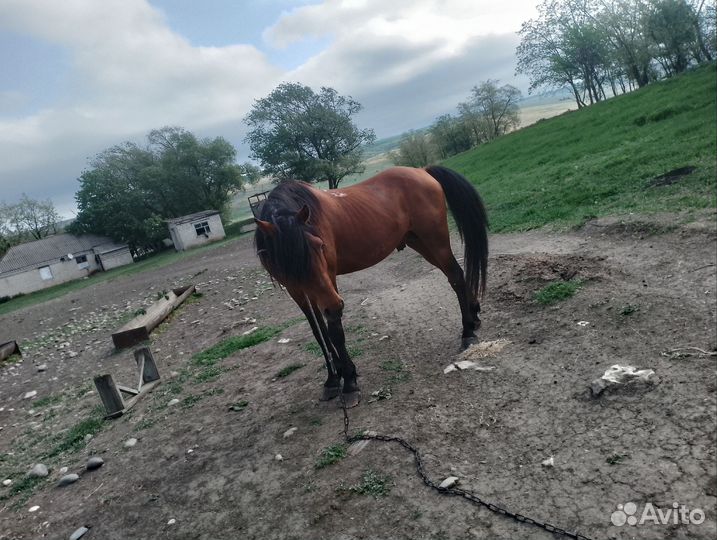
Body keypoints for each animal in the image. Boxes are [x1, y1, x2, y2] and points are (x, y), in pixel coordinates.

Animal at [254, 165, 488, 407]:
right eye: (287, 261)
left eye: (320, 245)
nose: (334, 304)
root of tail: (422, 171)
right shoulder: (299, 292)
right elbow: (319, 333)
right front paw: (332, 379)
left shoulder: (329, 278)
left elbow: (334, 330)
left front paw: (349, 381)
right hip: (419, 242)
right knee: (456, 276)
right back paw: (474, 316)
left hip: (435, 240)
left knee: (456, 277)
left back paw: (467, 332)